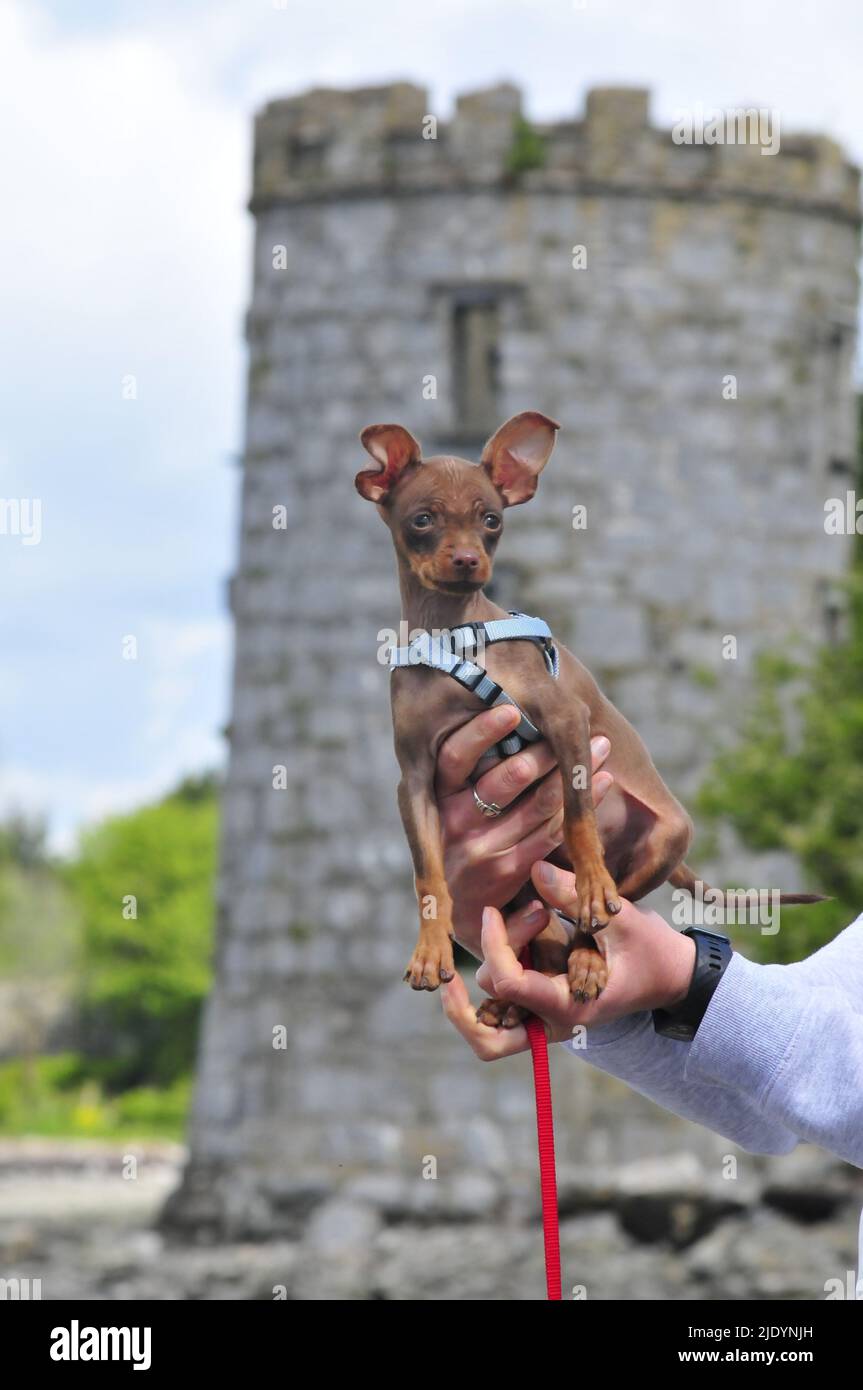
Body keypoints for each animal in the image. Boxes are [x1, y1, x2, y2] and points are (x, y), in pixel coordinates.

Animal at [352, 408, 817, 1023]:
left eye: (492, 520)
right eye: (422, 520)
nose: (469, 561)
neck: (456, 636)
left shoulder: (566, 721)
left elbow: (579, 820)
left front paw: (593, 885)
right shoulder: (416, 783)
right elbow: (428, 874)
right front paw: (430, 949)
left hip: (666, 839)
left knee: (587, 920)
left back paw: (588, 954)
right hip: (524, 880)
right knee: (544, 924)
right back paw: (513, 998)